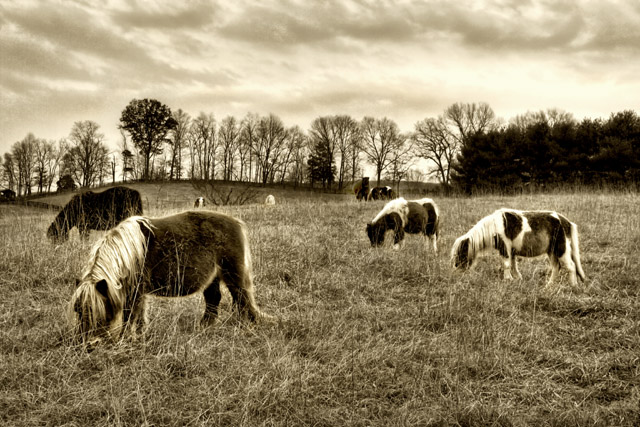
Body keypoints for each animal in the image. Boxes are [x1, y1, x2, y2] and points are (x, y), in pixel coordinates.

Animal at [69, 211, 272, 348]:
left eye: (96, 310)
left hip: (233, 274)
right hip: (212, 278)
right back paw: (205, 326)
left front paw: (125, 339)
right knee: (214, 300)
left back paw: (249, 324)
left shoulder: (136, 291)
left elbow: (130, 315)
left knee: (243, 298)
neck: (129, 252)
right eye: (78, 310)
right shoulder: (139, 292)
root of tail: (236, 223)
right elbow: (139, 315)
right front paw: (140, 335)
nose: (87, 344)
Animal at [450, 208, 584, 288]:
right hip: (551, 251)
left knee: (571, 266)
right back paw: (548, 286)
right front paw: (518, 279)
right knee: (556, 267)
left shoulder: (505, 249)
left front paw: (507, 280)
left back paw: (573, 286)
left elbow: (506, 265)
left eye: (461, 253)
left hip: (561, 249)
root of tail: (567, 222)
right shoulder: (512, 251)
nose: (456, 269)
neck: (494, 227)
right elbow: (513, 266)